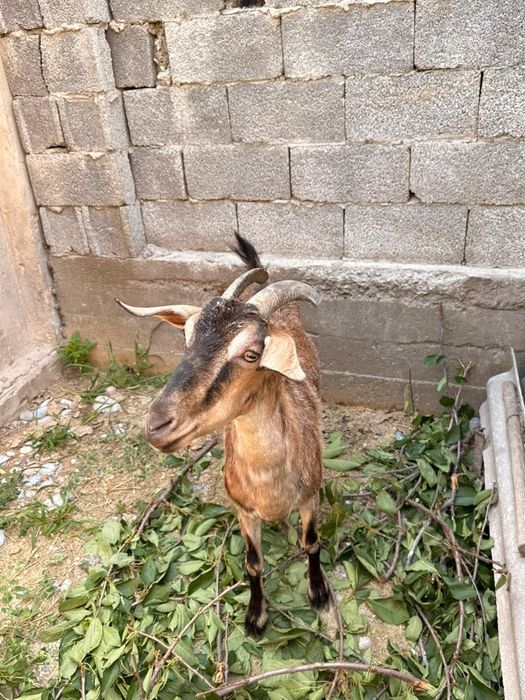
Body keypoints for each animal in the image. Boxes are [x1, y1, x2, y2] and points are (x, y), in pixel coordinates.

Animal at [117, 235, 329, 637]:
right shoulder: (243, 510)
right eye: (186, 336)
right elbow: (253, 563)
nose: (157, 424)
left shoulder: (310, 496)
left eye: (251, 353)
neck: (269, 483)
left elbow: (311, 543)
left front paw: (320, 594)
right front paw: (255, 618)